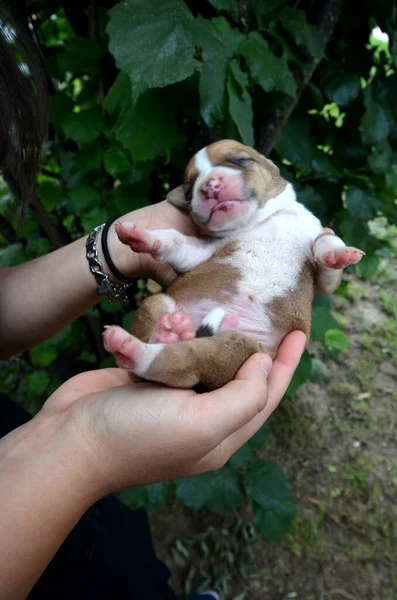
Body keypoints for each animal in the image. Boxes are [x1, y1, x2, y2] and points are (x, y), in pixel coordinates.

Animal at [103, 139, 364, 390]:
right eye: (189, 190)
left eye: (240, 160)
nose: (209, 185)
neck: (261, 220)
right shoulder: (204, 250)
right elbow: (175, 241)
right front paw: (141, 236)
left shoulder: (320, 272)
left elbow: (327, 244)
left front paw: (338, 253)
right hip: (159, 305)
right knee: (174, 363)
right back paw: (141, 345)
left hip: (237, 346)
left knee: (185, 362)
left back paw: (162, 338)